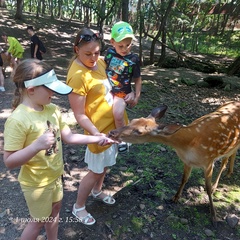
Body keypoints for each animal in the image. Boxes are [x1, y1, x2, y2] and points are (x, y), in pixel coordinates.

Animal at [109, 100, 240, 224]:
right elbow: (184, 179)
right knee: (232, 155)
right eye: (132, 120)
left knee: (224, 162)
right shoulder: (187, 161)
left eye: (139, 131)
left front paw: (214, 216)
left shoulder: (208, 161)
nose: (112, 132)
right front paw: (175, 197)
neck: (188, 144)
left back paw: (219, 182)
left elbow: (207, 188)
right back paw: (229, 172)